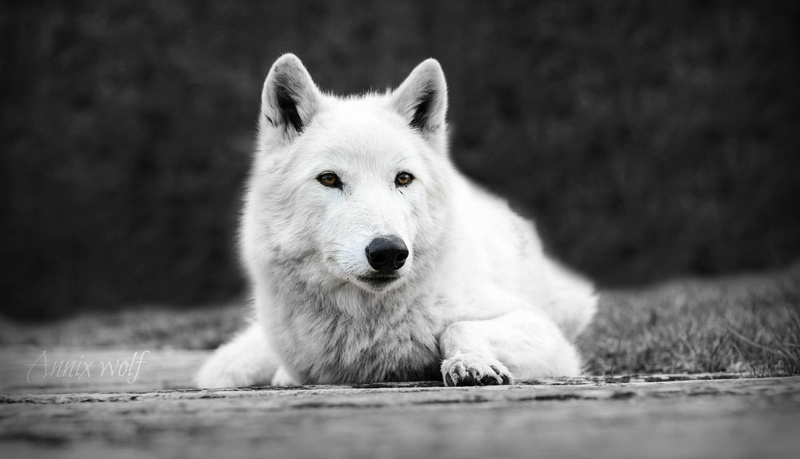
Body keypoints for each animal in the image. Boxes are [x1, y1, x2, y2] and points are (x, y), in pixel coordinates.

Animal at [195, 54, 597, 388]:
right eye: (329, 179)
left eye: (403, 178)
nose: (388, 252)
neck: (372, 321)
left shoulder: (546, 335)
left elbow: (459, 326)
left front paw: (472, 363)